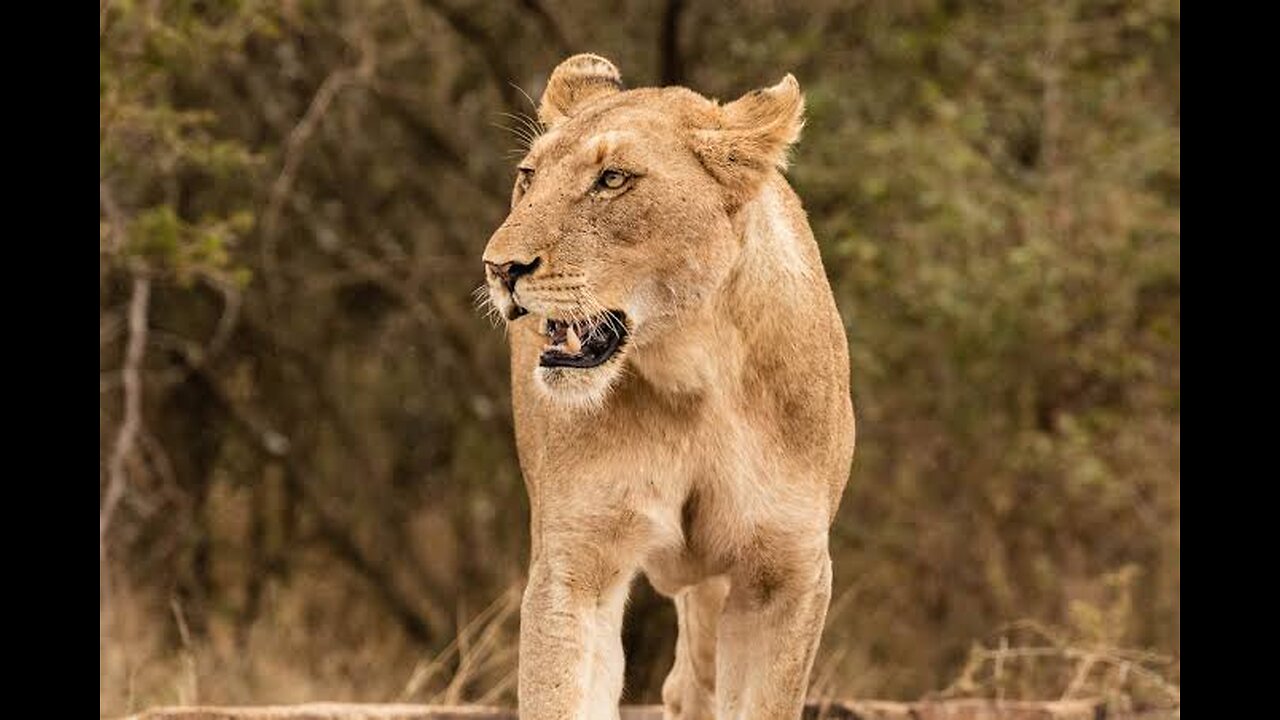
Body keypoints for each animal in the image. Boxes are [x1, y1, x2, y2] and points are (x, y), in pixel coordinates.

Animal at [481, 54, 856, 720]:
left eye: (612, 180)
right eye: (529, 176)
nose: (499, 267)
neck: (694, 375)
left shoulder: (787, 574)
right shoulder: (575, 562)